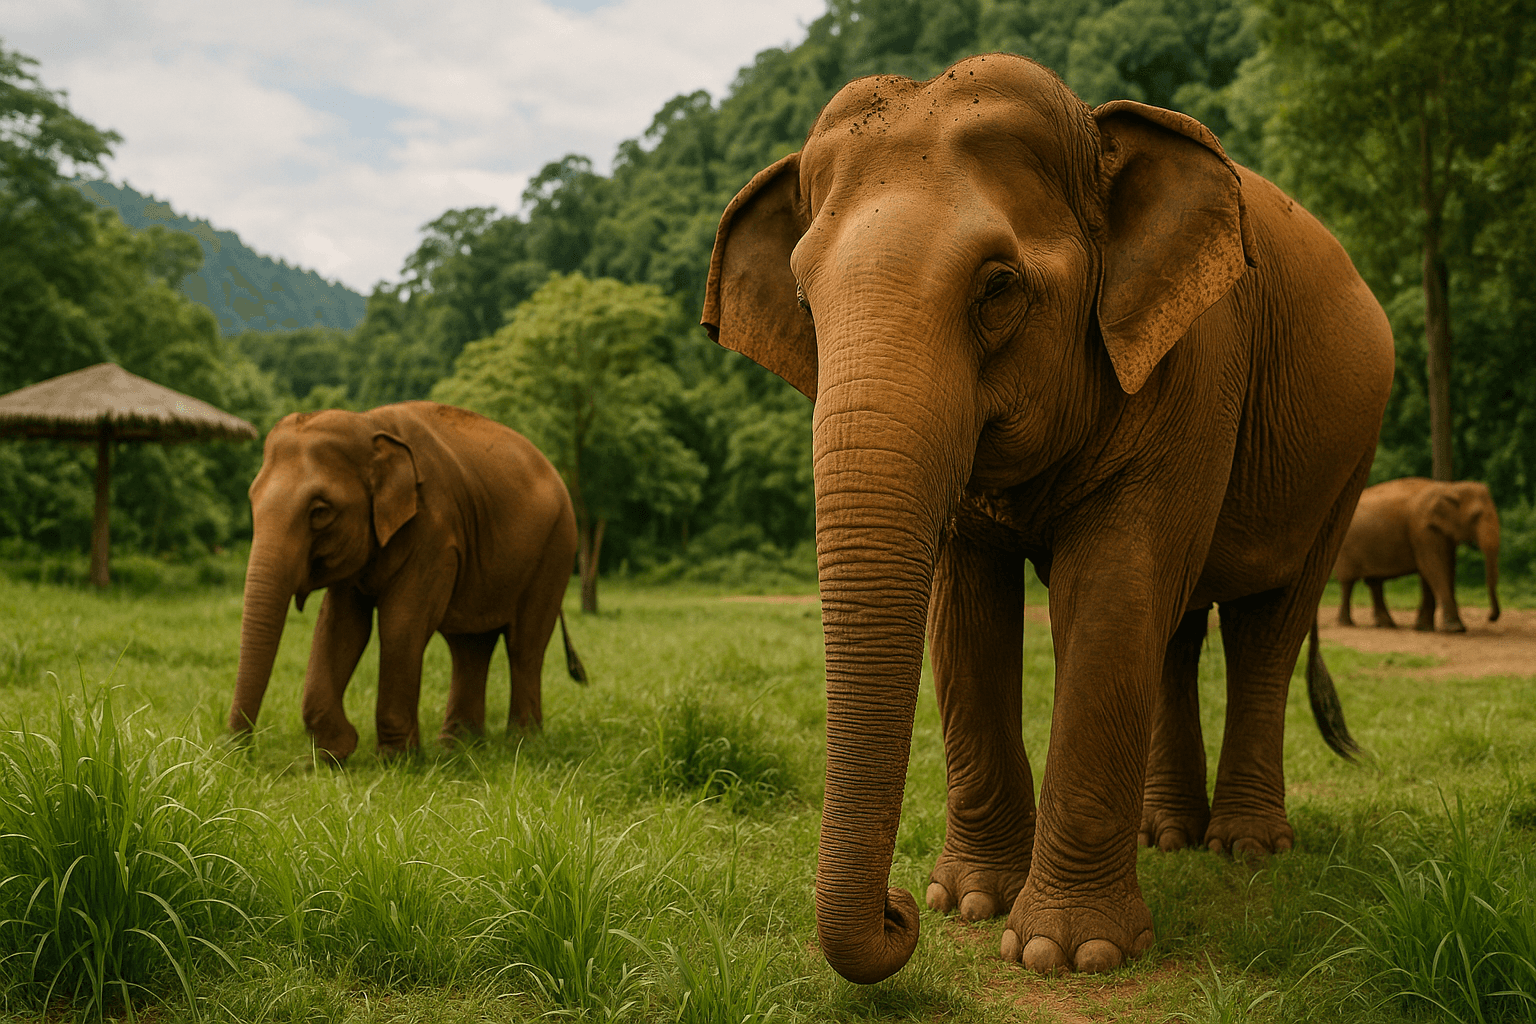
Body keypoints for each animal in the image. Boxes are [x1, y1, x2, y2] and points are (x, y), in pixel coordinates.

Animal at [229, 401, 587, 762]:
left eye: (320, 511)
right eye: (251, 500)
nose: (240, 754)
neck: (369, 425)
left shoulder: (435, 531)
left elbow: (400, 623)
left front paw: (394, 760)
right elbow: (339, 626)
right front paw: (333, 754)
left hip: (556, 546)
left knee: (524, 644)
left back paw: (521, 744)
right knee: (469, 646)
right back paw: (459, 748)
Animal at [702, 54, 1394, 981]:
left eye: (999, 288)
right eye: (807, 307)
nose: (895, 911)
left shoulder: (1198, 360)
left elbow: (1109, 594)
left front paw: (1067, 953)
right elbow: (969, 613)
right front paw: (966, 905)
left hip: (1348, 459)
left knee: (1266, 626)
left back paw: (1245, 850)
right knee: (1177, 630)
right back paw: (1167, 837)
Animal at [1334, 477, 1501, 632]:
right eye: (1476, 516)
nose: (1491, 617)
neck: (1450, 487)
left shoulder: (1437, 532)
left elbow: (1439, 568)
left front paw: (1423, 628)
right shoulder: (1421, 529)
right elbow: (1433, 567)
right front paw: (1456, 629)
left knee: (1375, 582)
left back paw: (1387, 625)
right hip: (1345, 548)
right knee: (1348, 582)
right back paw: (1347, 624)